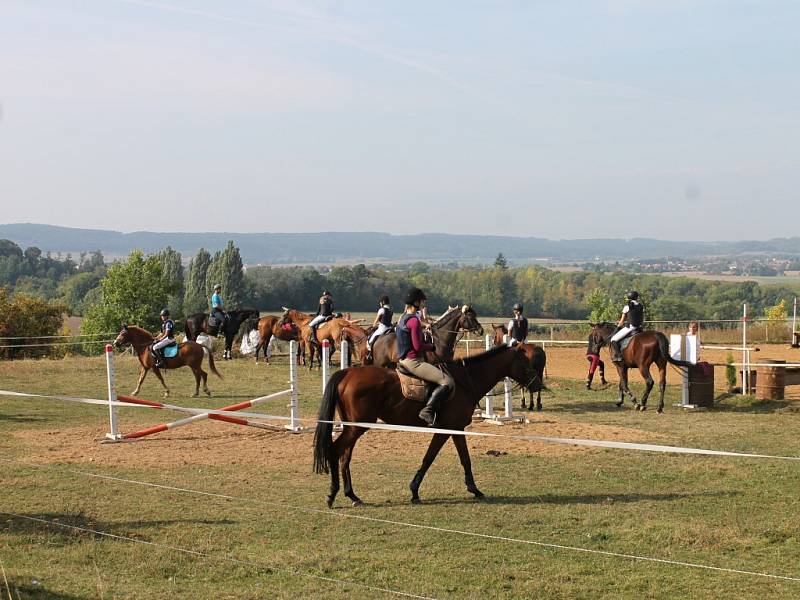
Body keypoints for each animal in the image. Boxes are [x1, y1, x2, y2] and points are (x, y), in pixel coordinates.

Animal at [312, 342, 544, 506]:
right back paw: (332, 494)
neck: (464, 382)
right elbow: (432, 458)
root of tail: (348, 372)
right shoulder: (448, 429)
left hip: (353, 427)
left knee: (345, 456)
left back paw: (352, 496)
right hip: (357, 427)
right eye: (524, 364)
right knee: (335, 451)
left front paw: (472, 489)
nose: (538, 385)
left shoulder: (454, 430)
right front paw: (415, 490)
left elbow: (460, 459)